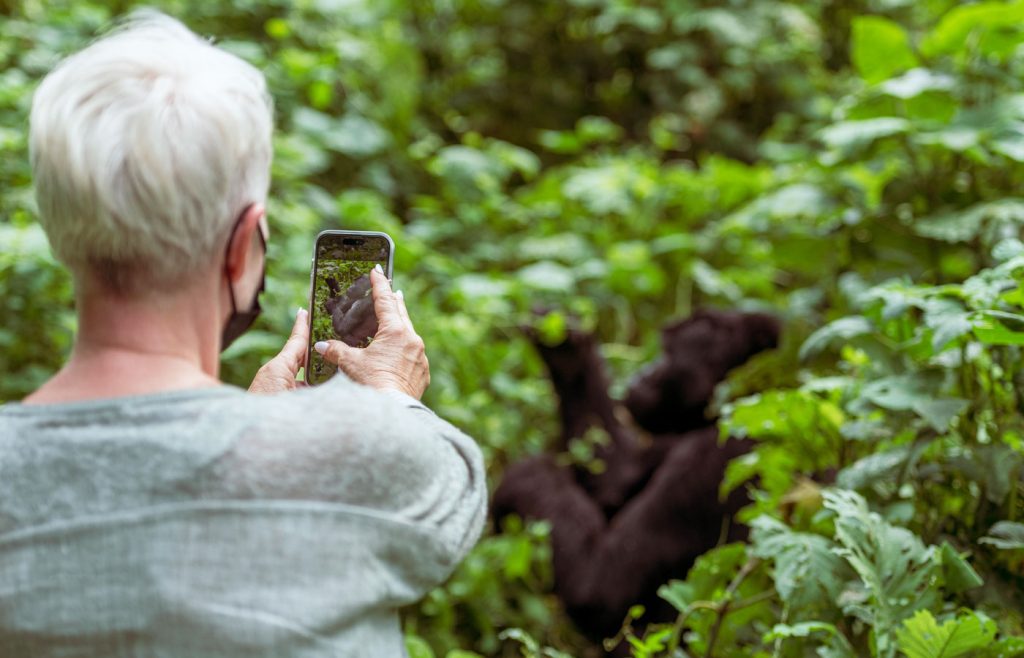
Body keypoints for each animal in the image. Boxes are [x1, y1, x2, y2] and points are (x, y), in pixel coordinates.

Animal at [491, 311, 778, 646]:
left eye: (668, 353)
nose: (643, 372)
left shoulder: (711, 460)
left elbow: (601, 589)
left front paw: (527, 476)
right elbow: (617, 471)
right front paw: (566, 351)